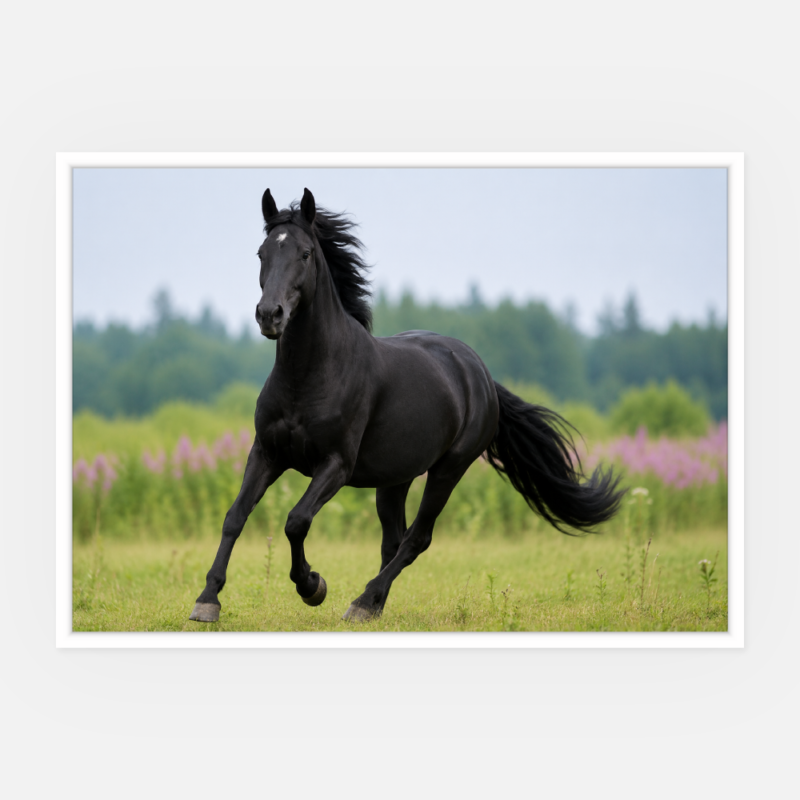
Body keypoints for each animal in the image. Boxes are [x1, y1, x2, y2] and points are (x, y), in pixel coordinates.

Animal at [189, 188, 625, 624]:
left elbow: (297, 521)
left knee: (417, 538)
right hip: (394, 478)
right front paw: (207, 599)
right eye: (262, 253)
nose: (269, 315)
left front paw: (312, 586)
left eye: (306, 254)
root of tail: (480, 374)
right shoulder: (266, 453)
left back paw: (363, 601)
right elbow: (235, 517)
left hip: (448, 469)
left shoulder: (335, 464)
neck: (310, 376)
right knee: (394, 540)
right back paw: (373, 605)